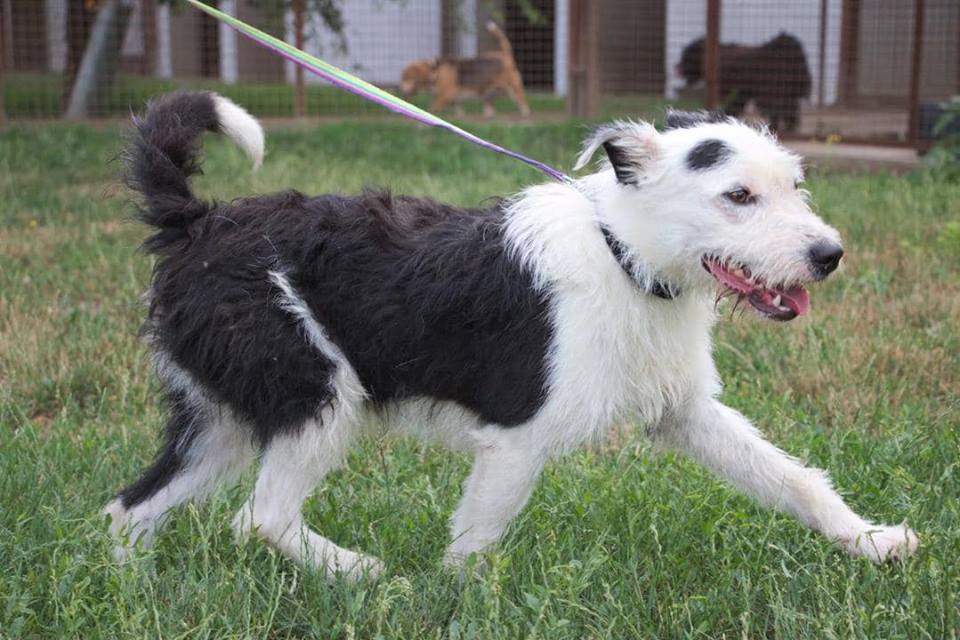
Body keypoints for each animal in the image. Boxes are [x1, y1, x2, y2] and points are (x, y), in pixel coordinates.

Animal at [105, 92, 916, 576]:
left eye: (794, 185)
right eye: (738, 196)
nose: (829, 256)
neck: (621, 255)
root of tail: (197, 222)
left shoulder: (686, 413)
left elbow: (792, 480)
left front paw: (873, 542)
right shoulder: (515, 440)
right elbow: (474, 546)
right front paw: (452, 605)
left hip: (223, 418)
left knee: (130, 508)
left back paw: (135, 589)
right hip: (314, 395)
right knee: (262, 518)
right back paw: (366, 575)